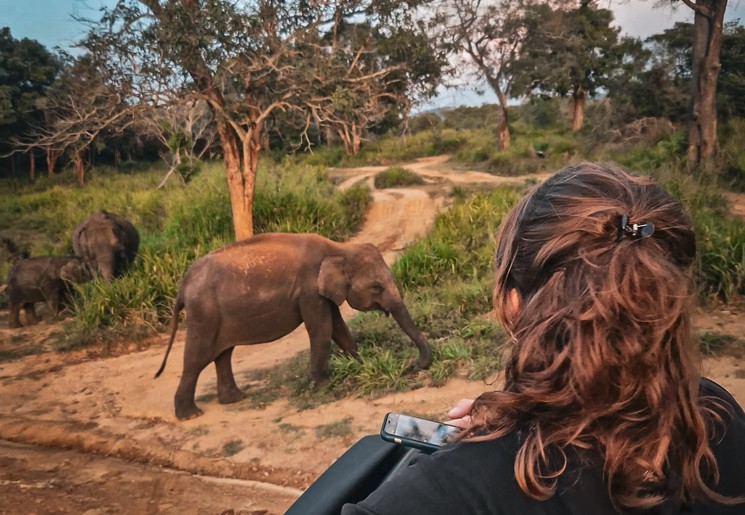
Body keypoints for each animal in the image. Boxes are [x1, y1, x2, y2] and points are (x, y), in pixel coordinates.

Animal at [154, 232, 430, 422]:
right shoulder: (310, 290)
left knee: (223, 354)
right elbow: (322, 330)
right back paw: (190, 415)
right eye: (376, 287)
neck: (338, 249)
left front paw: (360, 367)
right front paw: (322, 387)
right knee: (197, 358)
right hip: (204, 313)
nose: (416, 363)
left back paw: (234, 399)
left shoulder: (322, 293)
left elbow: (338, 328)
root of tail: (183, 284)